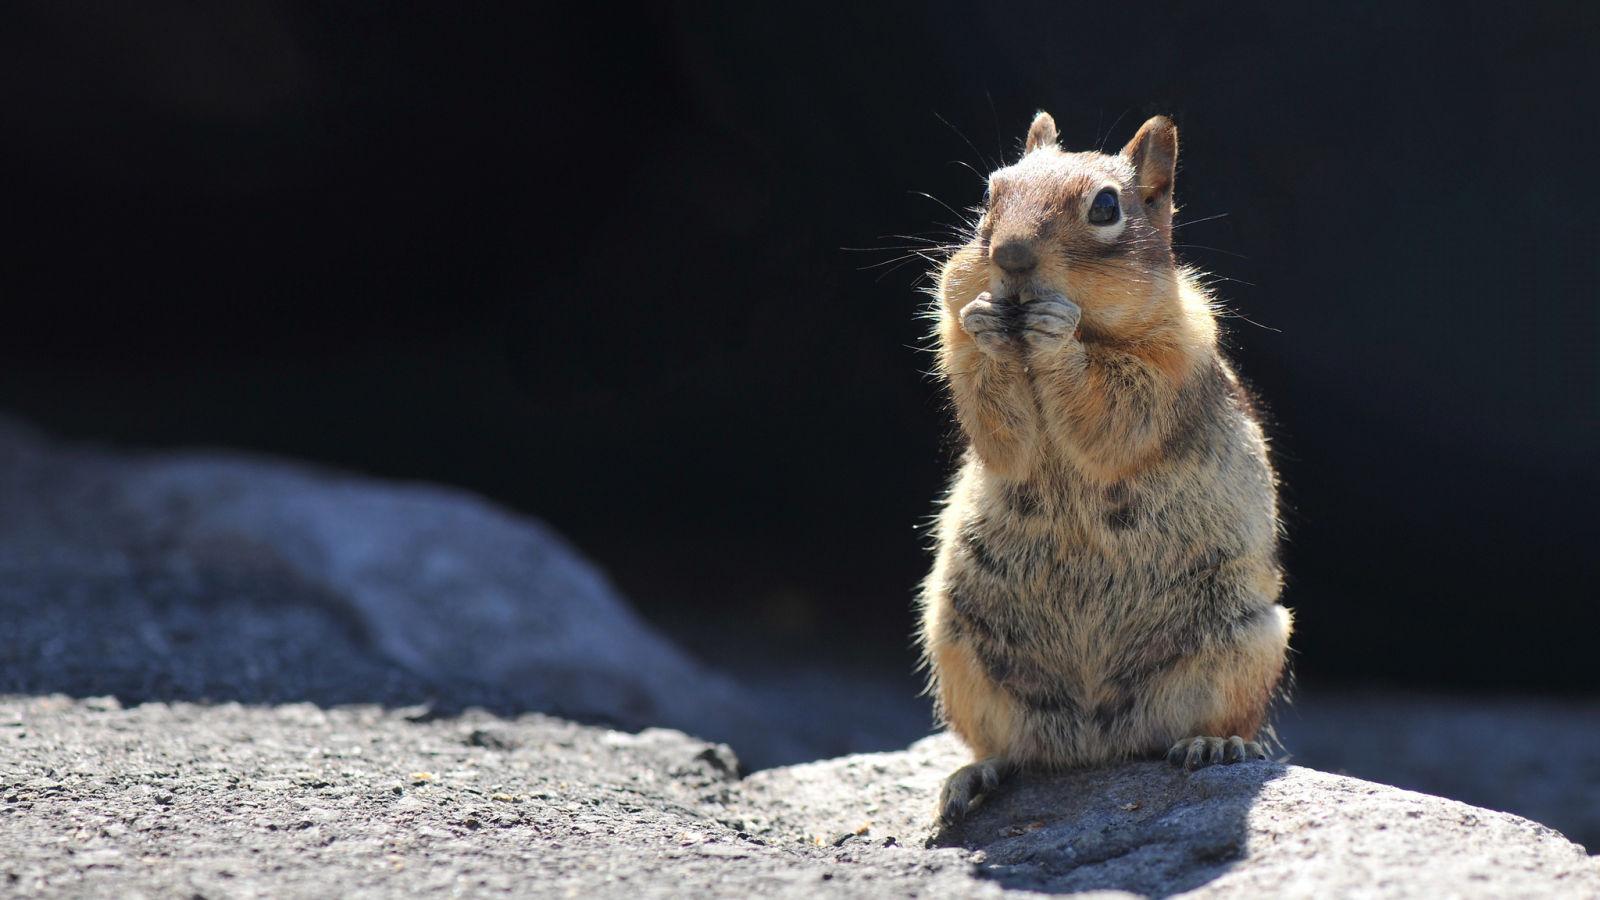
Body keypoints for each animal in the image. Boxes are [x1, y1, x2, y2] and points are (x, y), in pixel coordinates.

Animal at [921, 110, 1292, 819]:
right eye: (990, 193)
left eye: (1105, 207)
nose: (1009, 257)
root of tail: (1096, 742)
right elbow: (998, 426)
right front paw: (986, 323)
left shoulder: (1169, 360)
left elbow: (1114, 413)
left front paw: (1059, 334)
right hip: (958, 645)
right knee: (1010, 748)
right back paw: (972, 778)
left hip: (1245, 640)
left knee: (1216, 722)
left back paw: (1212, 745)